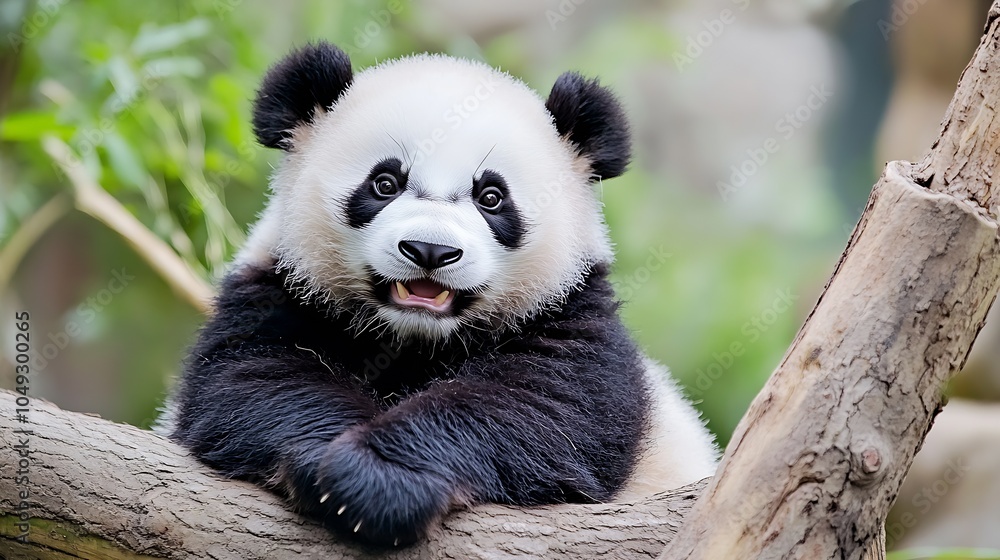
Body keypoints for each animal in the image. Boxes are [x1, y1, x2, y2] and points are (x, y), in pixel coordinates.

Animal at [163, 41, 717, 546]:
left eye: (491, 197)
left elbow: (538, 407)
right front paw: (334, 466)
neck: (415, 340)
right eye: (385, 182)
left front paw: (381, 481)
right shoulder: (278, 290)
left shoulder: (570, 316)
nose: (430, 250)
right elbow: (252, 378)